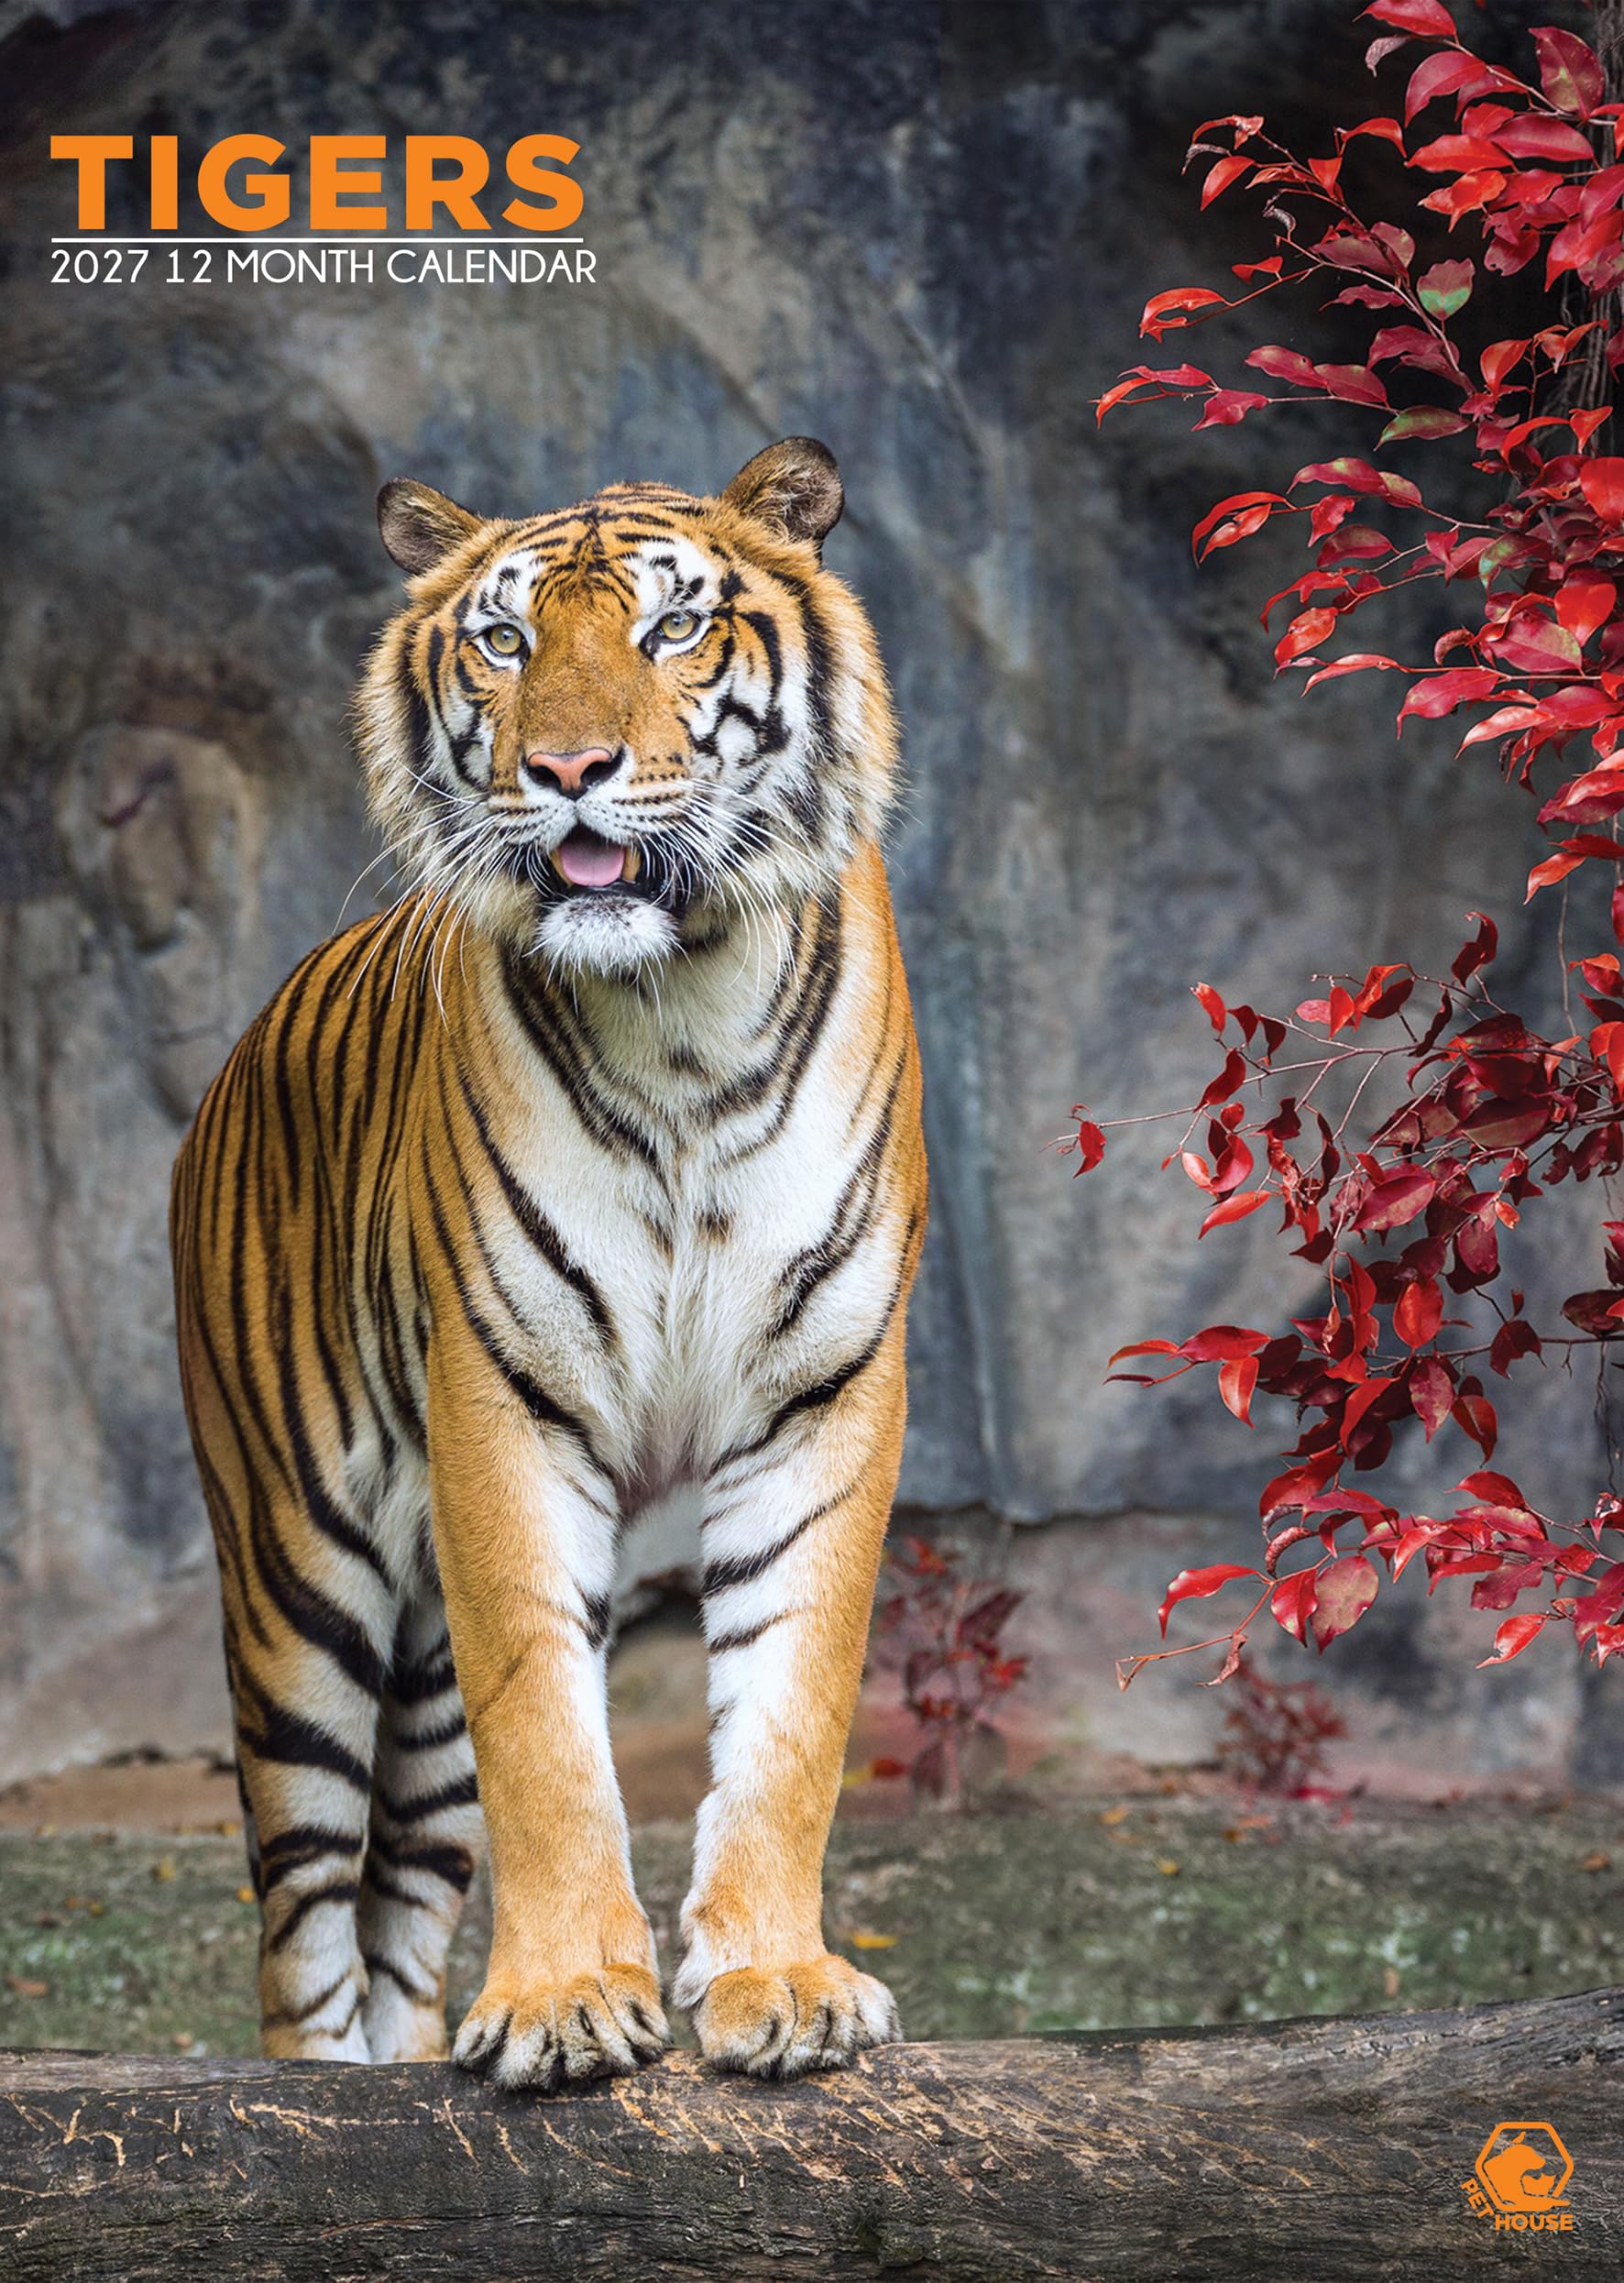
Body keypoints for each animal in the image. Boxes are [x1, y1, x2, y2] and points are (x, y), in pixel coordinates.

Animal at [169, 437, 927, 2090]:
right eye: (507, 642)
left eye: (671, 629)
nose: (569, 769)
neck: (683, 1013)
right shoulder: (503, 1399)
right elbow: (550, 1735)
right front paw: (571, 1998)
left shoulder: (823, 1390)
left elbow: (790, 1711)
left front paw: (778, 1982)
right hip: (296, 1583)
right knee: (303, 1933)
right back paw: (319, 2095)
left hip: (415, 1680)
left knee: (399, 1915)